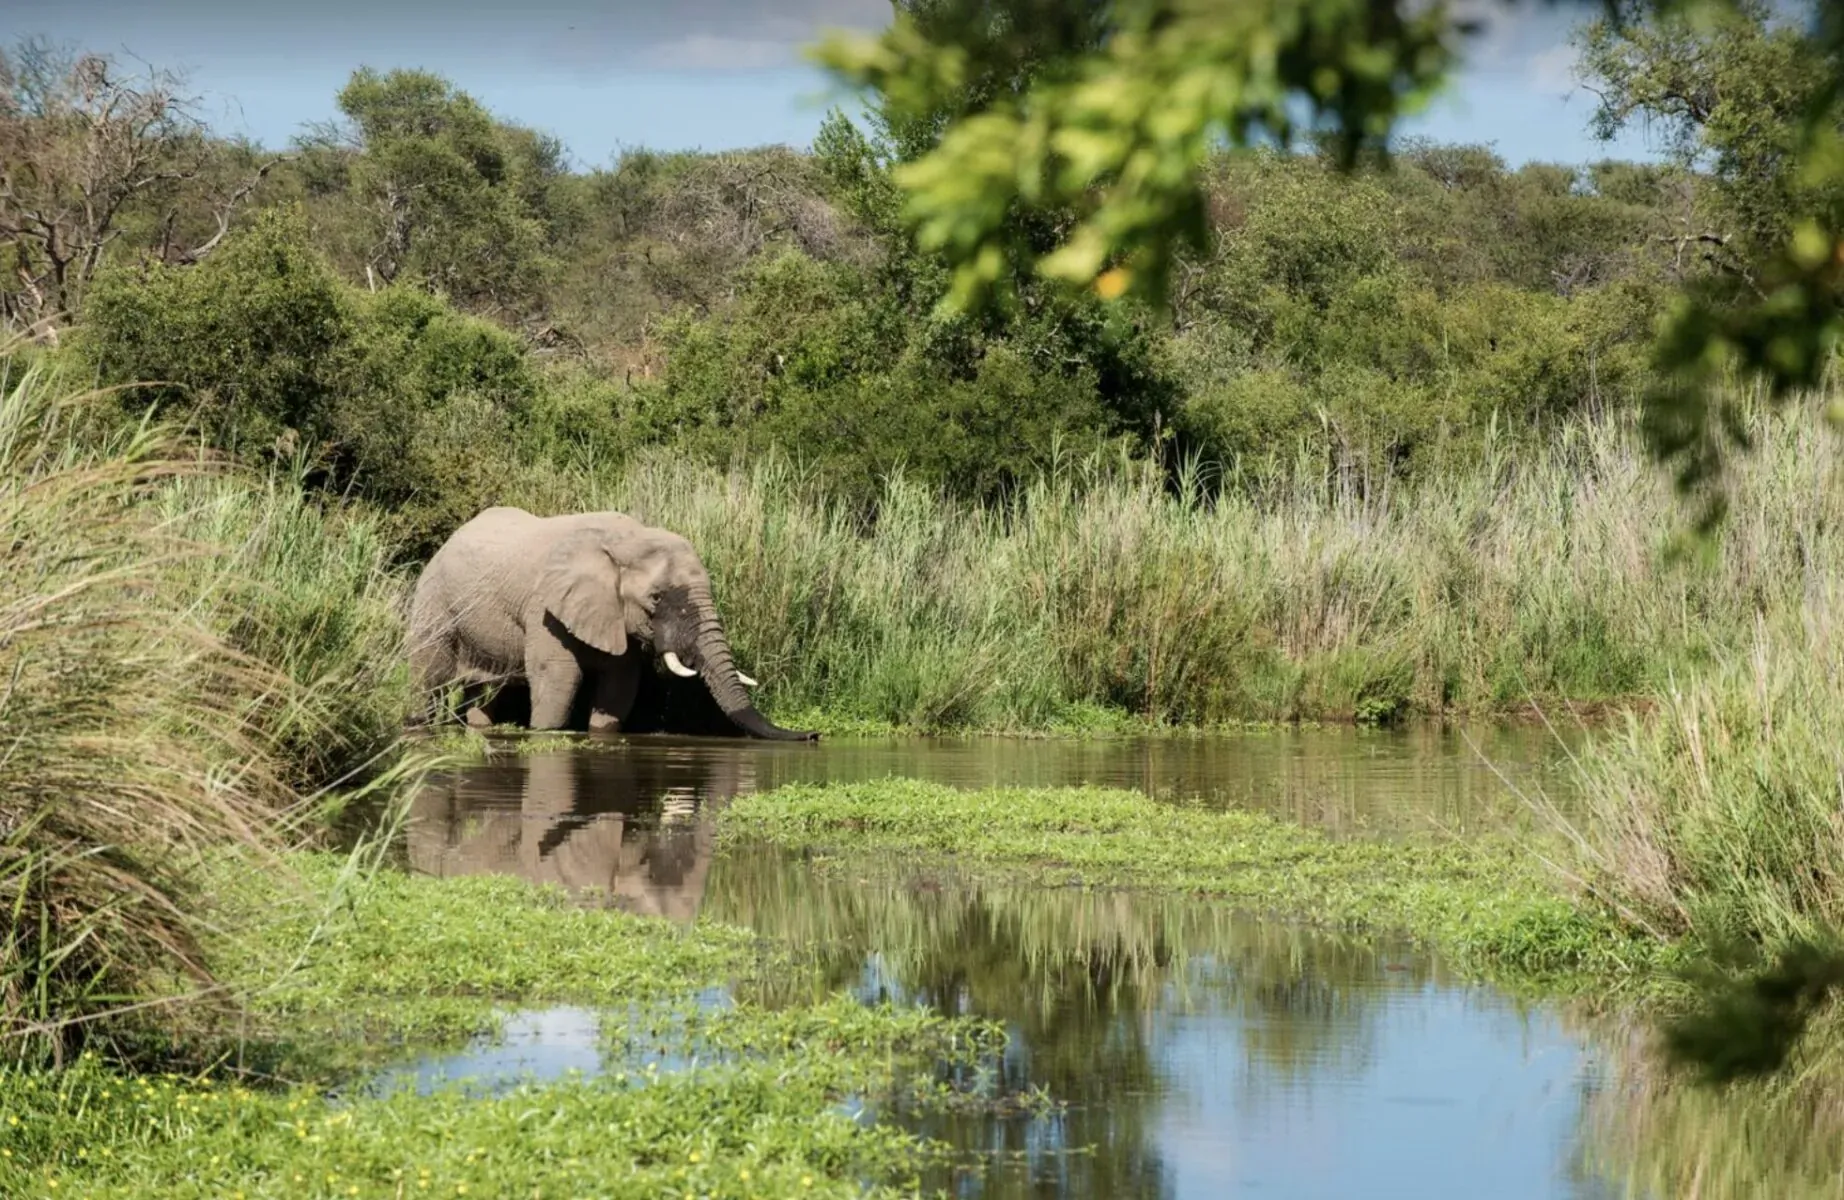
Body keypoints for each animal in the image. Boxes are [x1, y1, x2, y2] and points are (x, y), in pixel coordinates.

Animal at [406, 506, 817, 741]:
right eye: (656, 599)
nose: (813, 735)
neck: (628, 540)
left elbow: (621, 685)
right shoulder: (544, 608)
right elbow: (560, 677)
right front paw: (546, 733)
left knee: (484, 693)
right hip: (434, 603)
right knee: (430, 680)